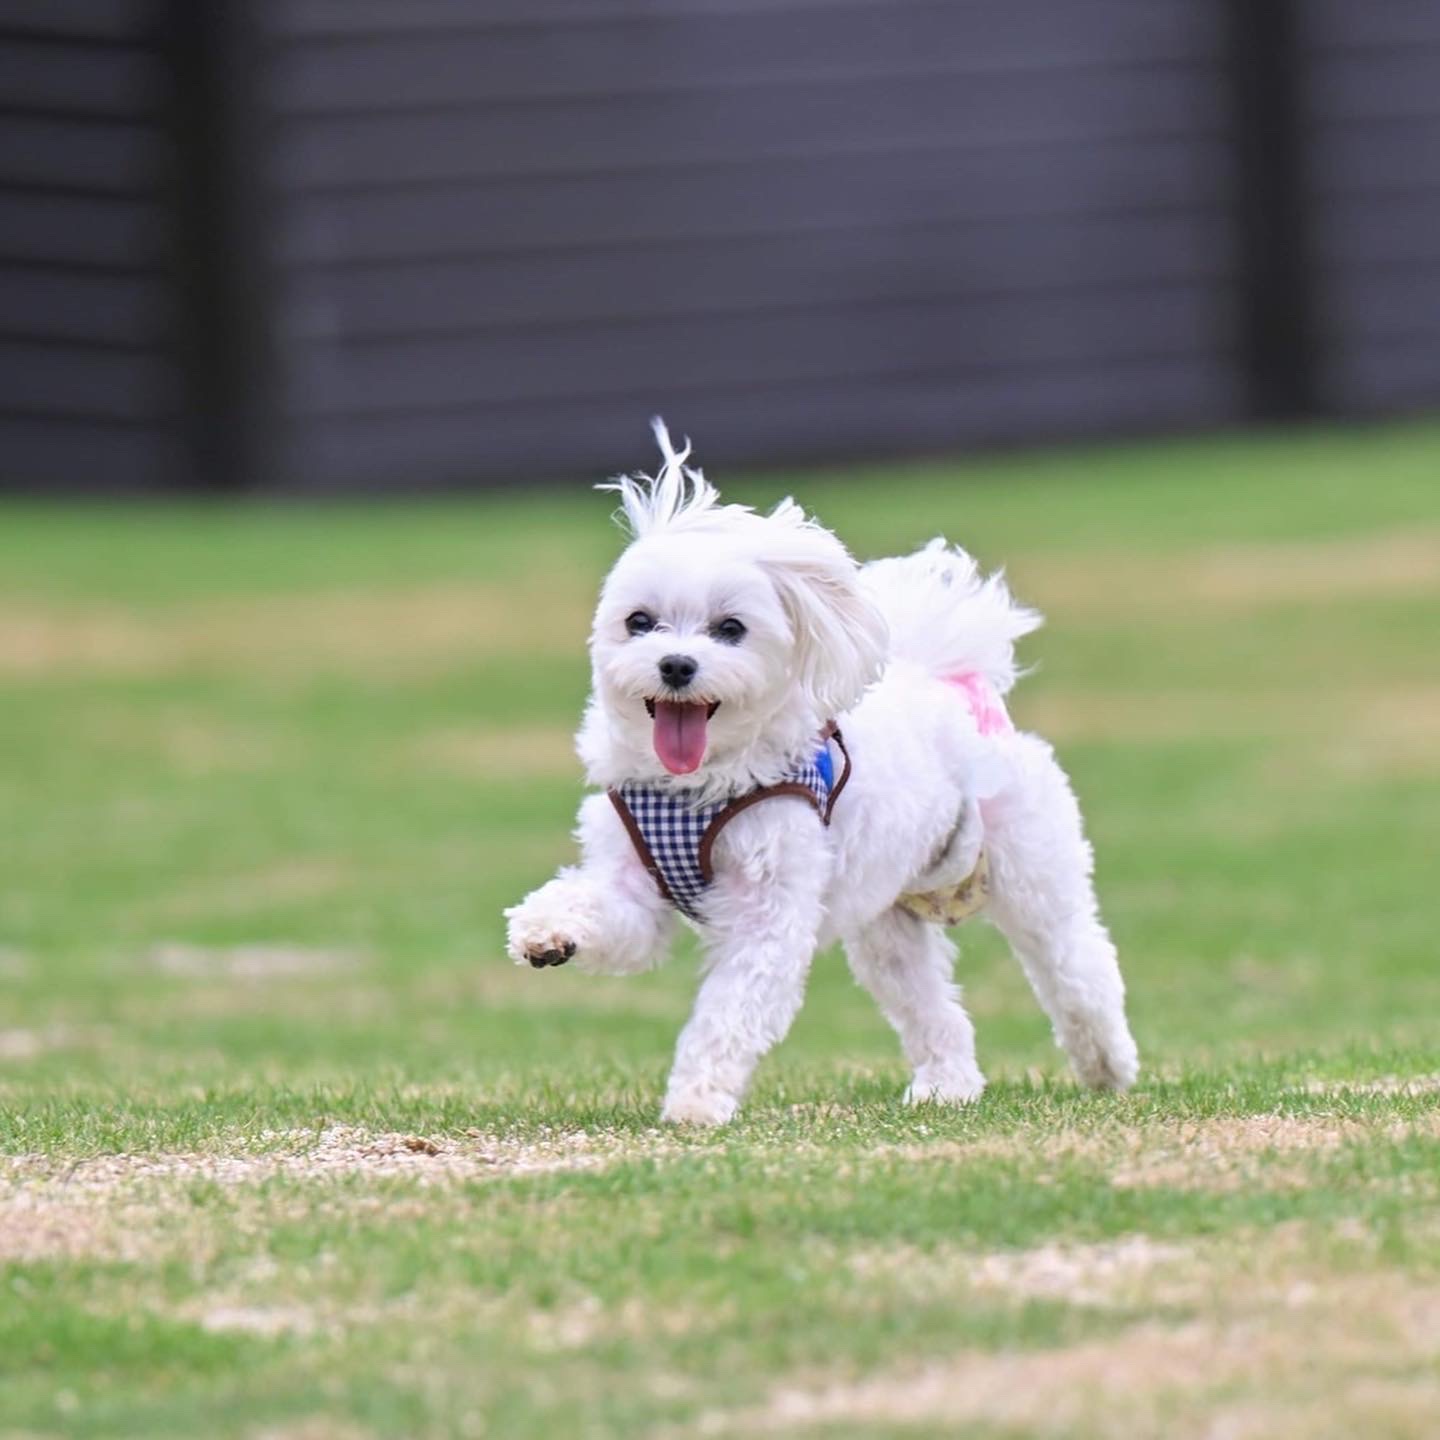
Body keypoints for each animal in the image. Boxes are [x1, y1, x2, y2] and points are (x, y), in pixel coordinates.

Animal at [506, 420, 1134, 1128]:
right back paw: (946, 1084)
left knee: (1077, 964)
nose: (675, 665)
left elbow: (728, 1013)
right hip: (887, 927)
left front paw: (696, 1100)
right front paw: (546, 931)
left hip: (1032, 869)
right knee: (933, 1009)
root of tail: (954, 679)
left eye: (730, 628)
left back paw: (1108, 1065)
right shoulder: (636, 881)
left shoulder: (769, 910)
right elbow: (609, 912)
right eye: (639, 621)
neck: (699, 787)